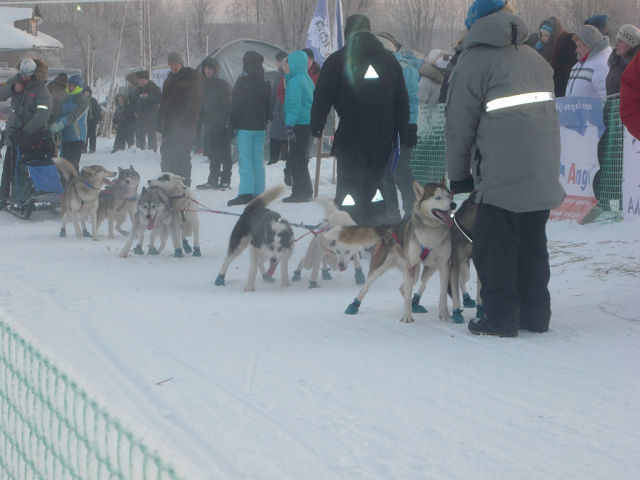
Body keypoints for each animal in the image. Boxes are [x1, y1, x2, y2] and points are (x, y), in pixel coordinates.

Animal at [324, 182, 456, 324]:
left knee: (406, 288)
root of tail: (389, 228)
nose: (453, 205)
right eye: (437, 197)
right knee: (366, 286)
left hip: (421, 270)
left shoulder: (443, 264)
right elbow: (408, 295)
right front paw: (407, 317)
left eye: (449, 196)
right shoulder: (411, 266)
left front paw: (444, 313)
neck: (431, 232)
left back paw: (413, 304)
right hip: (382, 267)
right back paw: (354, 305)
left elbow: (443, 292)